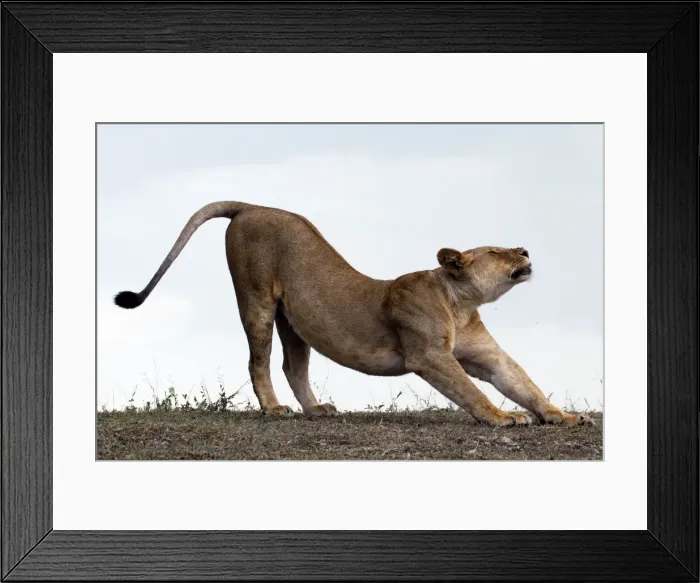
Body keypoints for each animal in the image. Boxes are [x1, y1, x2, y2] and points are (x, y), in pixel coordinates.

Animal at [115, 201, 592, 427]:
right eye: (495, 251)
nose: (525, 249)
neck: (461, 304)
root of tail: (249, 206)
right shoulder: (428, 356)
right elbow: (470, 391)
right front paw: (501, 417)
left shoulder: (487, 355)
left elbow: (523, 383)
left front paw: (563, 415)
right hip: (257, 300)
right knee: (258, 361)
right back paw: (274, 409)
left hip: (295, 319)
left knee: (292, 365)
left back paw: (315, 409)